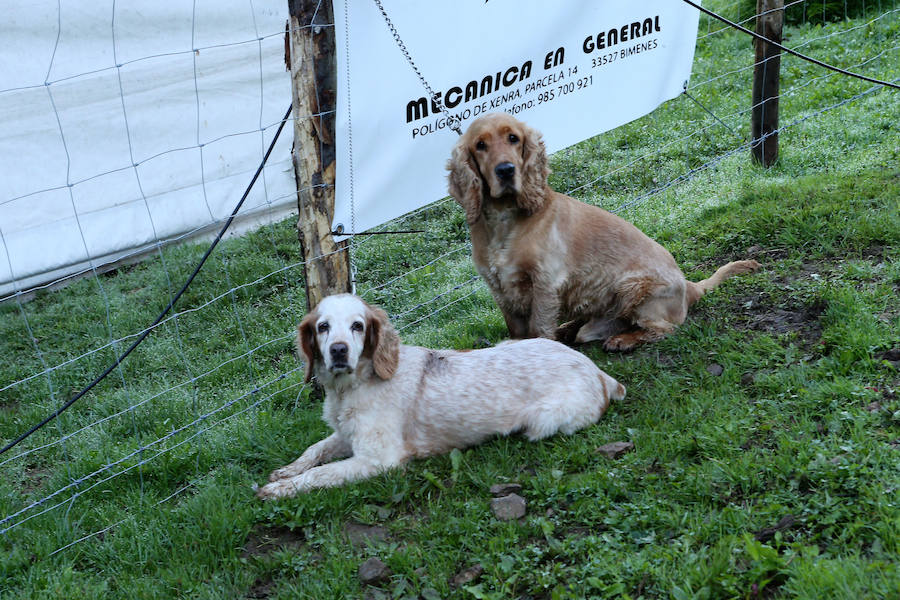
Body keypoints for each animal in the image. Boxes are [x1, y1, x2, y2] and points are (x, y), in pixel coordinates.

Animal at [256, 292, 624, 500]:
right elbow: (314, 450)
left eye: (358, 326)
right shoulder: (348, 435)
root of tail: (600, 374)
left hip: (542, 421)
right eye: (323, 327)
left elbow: (321, 474)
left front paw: (279, 489)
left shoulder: (378, 458)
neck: (351, 386)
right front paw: (286, 472)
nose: (338, 351)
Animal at [446, 111, 756, 352]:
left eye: (514, 138)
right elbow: (517, 331)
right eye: (480, 145)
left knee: (664, 328)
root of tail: (689, 286)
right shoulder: (499, 287)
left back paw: (623, 340)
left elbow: (539, 328)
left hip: (634, 288)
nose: (506, 170)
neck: (504, 221)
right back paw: (570, 328)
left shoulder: (545, 282)